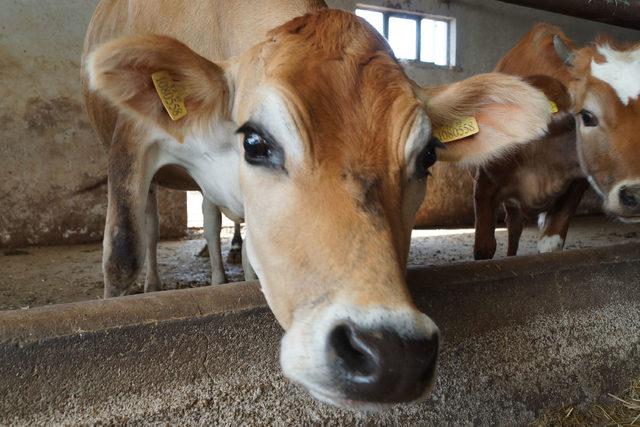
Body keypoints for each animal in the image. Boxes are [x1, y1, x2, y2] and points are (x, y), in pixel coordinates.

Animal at [81, 0, 552, 408]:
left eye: (428, 157)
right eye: (255, 142)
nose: (393, 355)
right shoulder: (131, 138)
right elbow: (121, 254)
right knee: (157, 224)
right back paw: (159, 284)